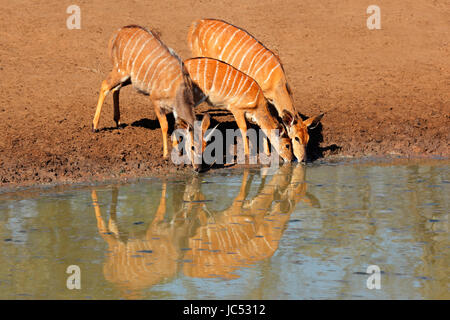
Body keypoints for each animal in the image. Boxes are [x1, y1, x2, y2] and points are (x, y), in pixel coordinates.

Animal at [92, 25, 211, 171]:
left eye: (205, 147)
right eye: (193, 147)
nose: (198, 168)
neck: (179, 87)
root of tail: (118, 32)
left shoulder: (175, 109)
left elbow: (176, 128)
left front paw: (177, 153)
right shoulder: (155, 100)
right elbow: (165, 126)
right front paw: (166, 154)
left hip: (129, 78)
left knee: (115, 89)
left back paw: (118, 123)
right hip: (121, 71)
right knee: (104, 85)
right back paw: (94, 126)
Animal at [186, 18, 324, 161]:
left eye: (307, 139)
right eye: (296, 138)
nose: (302, 159)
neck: (276, 81)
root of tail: (196, 24)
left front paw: (267, 152)